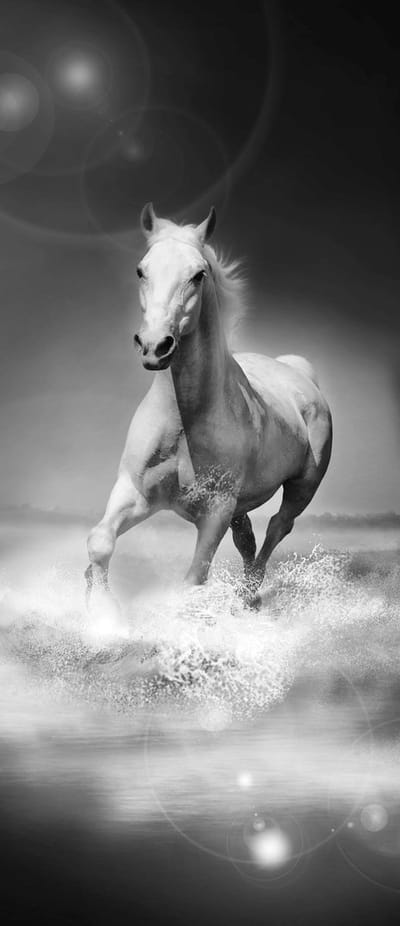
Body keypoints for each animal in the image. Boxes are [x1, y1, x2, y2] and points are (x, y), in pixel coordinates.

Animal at [85, 203, 332, 627]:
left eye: (198, 274)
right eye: (141, 269)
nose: (155, 346)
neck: (184, 422)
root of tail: (298, 371)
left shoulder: (216, 510)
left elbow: (193, 580)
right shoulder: (136, 492)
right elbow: (100, 541)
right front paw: (102, 616)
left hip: (302, 487)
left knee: (276, 530)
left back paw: (249, 598)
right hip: (241, 507)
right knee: (248, 539)